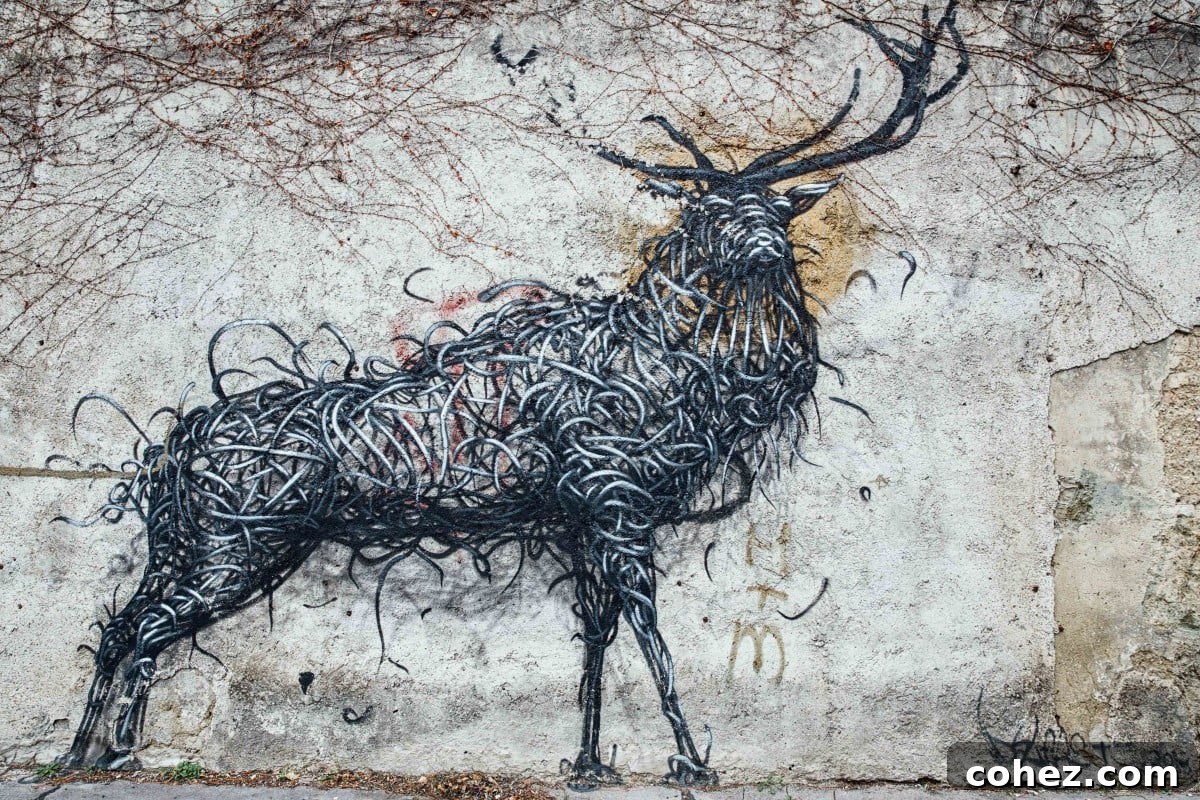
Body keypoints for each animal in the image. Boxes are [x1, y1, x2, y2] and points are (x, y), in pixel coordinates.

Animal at [58, 3, 966, 788]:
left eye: (775, 209)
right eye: (709, 213)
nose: (764, 248)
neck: (692, 384)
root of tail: (165, 454)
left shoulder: (578, 518)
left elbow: (595, 637)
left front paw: (591, 762)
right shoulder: (616, 496)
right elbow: (651, 631)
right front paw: (691, 757)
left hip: (189, 540)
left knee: (120, 622)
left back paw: (84, 750)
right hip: (238, 539)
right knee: (146, 626)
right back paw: (111, 750)